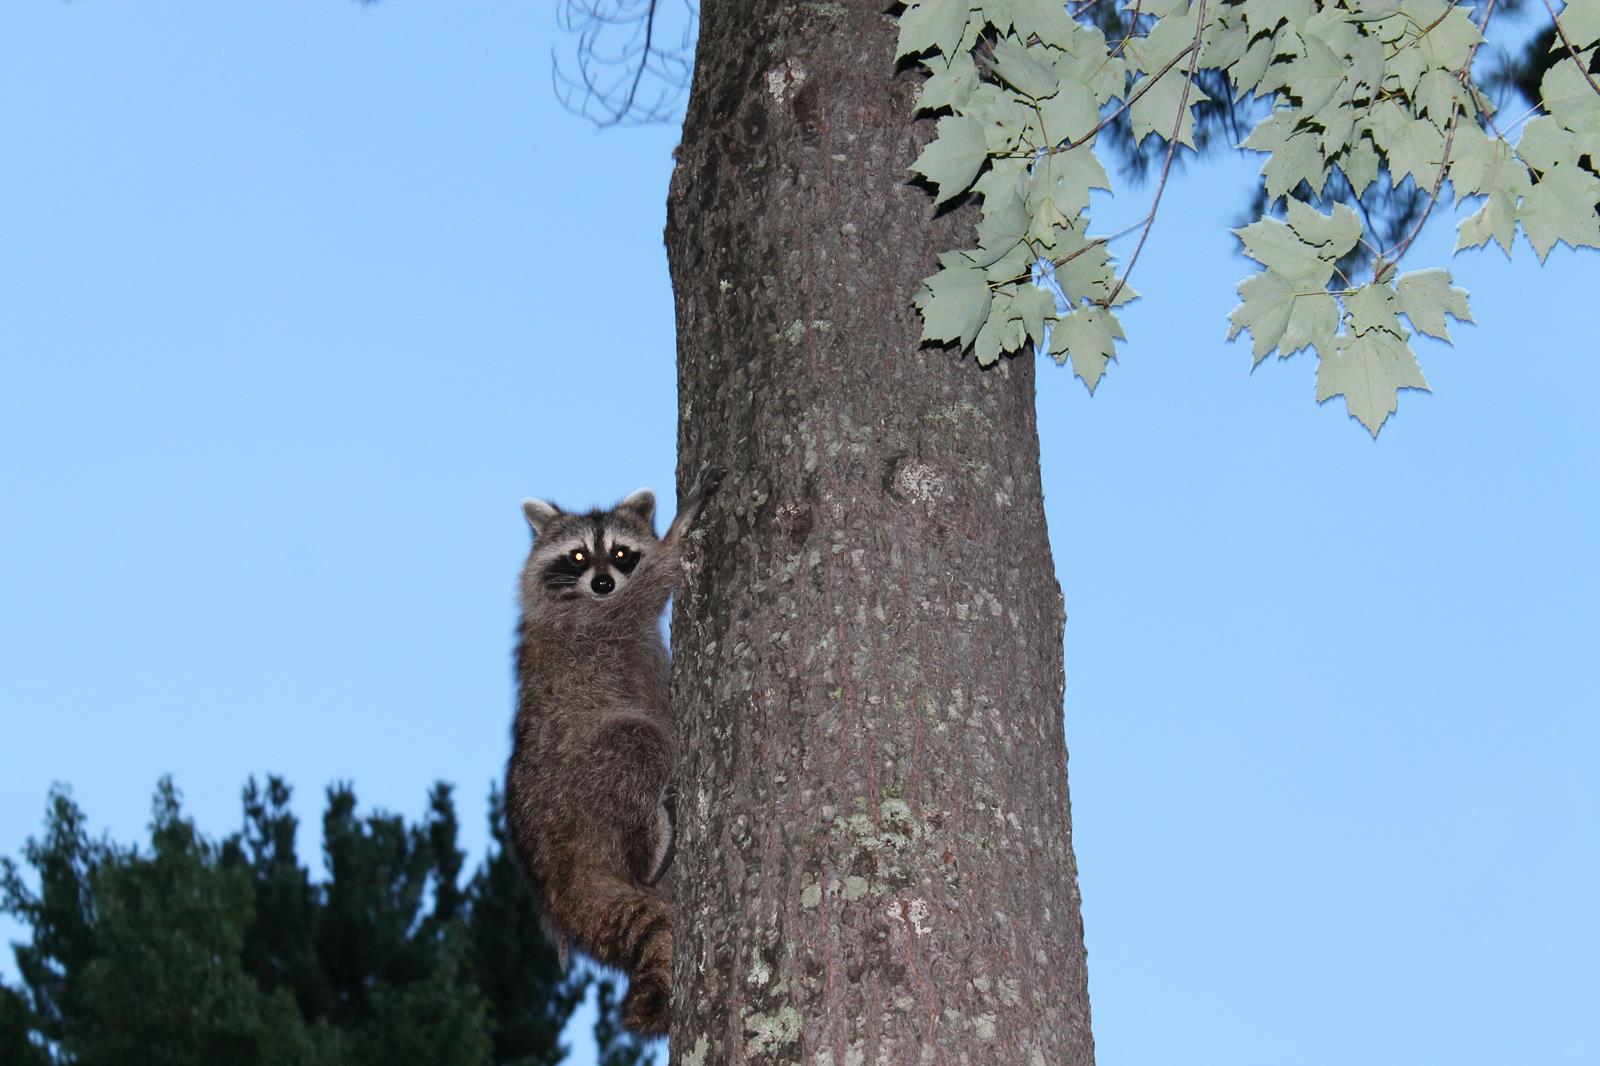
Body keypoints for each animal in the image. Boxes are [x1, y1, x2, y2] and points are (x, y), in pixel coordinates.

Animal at [505, 464, 726, 1030]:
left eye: (621, 552)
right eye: (579, 556)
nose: (604, 582)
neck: (588, 598)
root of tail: (557, 877)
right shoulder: (588, 626)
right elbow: (640, 597)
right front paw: (676, 537)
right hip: (579, 773)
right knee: (638, 742)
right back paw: (649, 853)